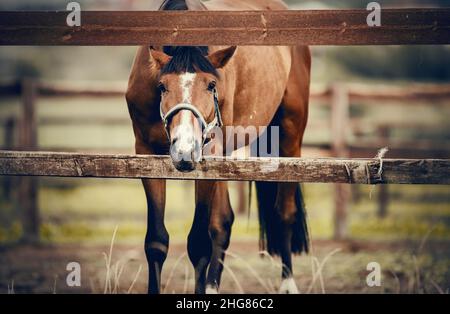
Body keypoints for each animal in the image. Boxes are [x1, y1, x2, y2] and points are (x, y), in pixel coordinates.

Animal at [125, 0, 312, 294]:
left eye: (211, 84)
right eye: (162, 86)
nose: (184, 149)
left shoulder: (208, 158)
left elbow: (199, 242)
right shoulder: (146, 153)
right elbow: (156, 242)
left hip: (290, 139)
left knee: (284, 213)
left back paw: (288, 284)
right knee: (223, 221)